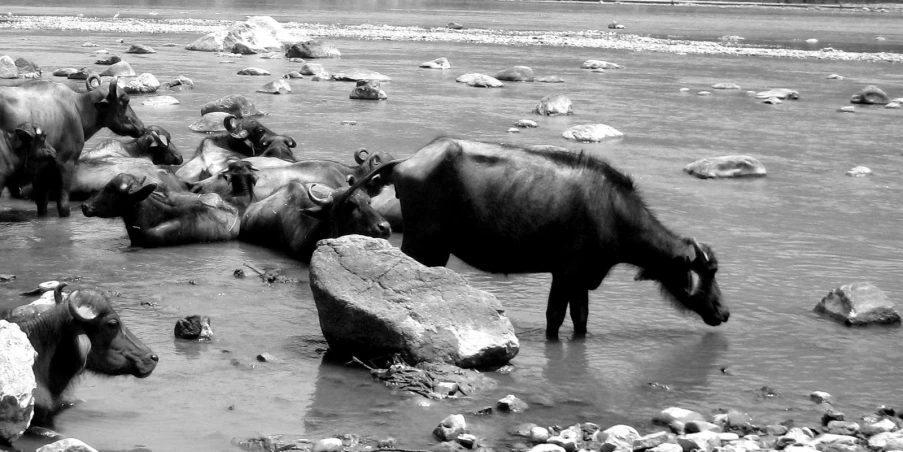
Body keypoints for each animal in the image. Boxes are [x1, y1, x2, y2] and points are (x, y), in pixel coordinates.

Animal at [0, 76, 144, 217]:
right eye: (125, 100)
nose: (141, 127)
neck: (78, 110)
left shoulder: (42, 170)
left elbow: (42, 204)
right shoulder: (66, 162)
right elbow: (63, 205)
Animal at [350, 138, 732, 340]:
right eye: (705, 273)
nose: (724, 312)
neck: (613, 213)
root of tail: (408, 160)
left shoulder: (578, 279)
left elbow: (580, 320)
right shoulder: (567, 274)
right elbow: (555, 318)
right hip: (422, 243)